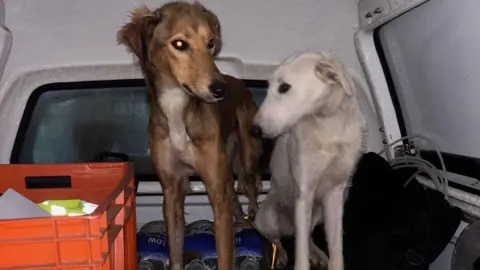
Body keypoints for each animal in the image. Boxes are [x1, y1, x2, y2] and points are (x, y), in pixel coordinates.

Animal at [117, 1, 262, 268]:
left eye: (210, 42)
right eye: (179, 44)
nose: (220, 90)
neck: (177, 107)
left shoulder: (217, 193)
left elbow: (225, 256)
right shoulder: (172, 190)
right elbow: (175, 252)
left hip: (246, 159)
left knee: (255, 202)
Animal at [251, 51, 364, 270]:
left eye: (284, 87)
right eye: (268, 87)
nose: (254, 131)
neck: (329, 126)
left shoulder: (336, 194)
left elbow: (336, 251)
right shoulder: (304, 192)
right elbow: (301, 257)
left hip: (318, 213)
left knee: (306, 235)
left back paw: (317, 253)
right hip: (266, 217)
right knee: (278, 238)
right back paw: (281, 254)